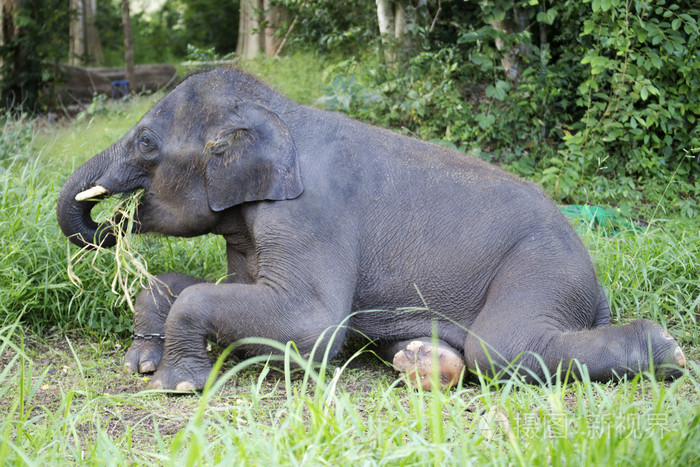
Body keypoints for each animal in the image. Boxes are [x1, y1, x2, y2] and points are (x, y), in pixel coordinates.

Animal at [53, 68, 684, 392]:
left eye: (145, 144)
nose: (109, 219)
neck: (283, 114)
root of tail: (597, 287)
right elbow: (210, 286)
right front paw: (143, 363)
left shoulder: (311, 216)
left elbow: (314, 325)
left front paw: (180, 386)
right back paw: (419, 361)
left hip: (545, 265)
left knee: (499, 347)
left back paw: (667, 349)